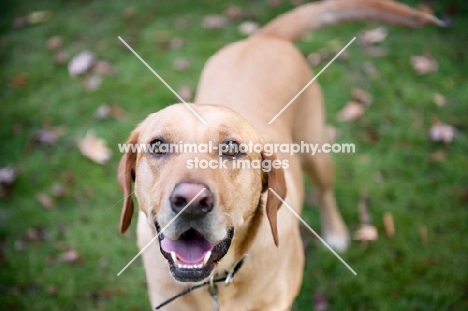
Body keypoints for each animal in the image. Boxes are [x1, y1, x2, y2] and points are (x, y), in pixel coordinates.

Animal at [118, 1, 442, 310]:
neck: (216, 283)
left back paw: (335, 232)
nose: (191, 201)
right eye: (158, 146)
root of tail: (264, 36)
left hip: (316, 149)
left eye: (231, 148)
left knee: (325, 191)